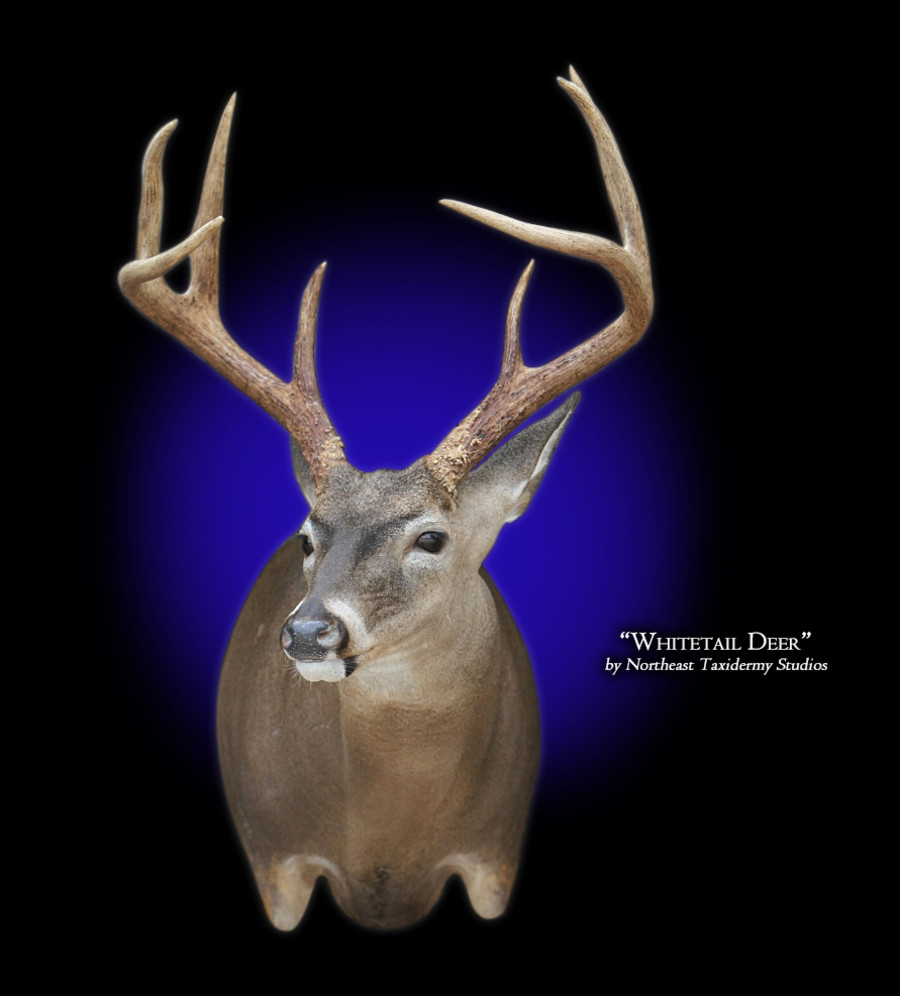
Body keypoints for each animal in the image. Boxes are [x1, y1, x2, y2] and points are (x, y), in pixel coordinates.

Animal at [118, 68, 652, 931]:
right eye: (308, 536)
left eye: (431, 538)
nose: (310, 632)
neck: (385, 838)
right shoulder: (274, 857)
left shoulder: (495, 854)